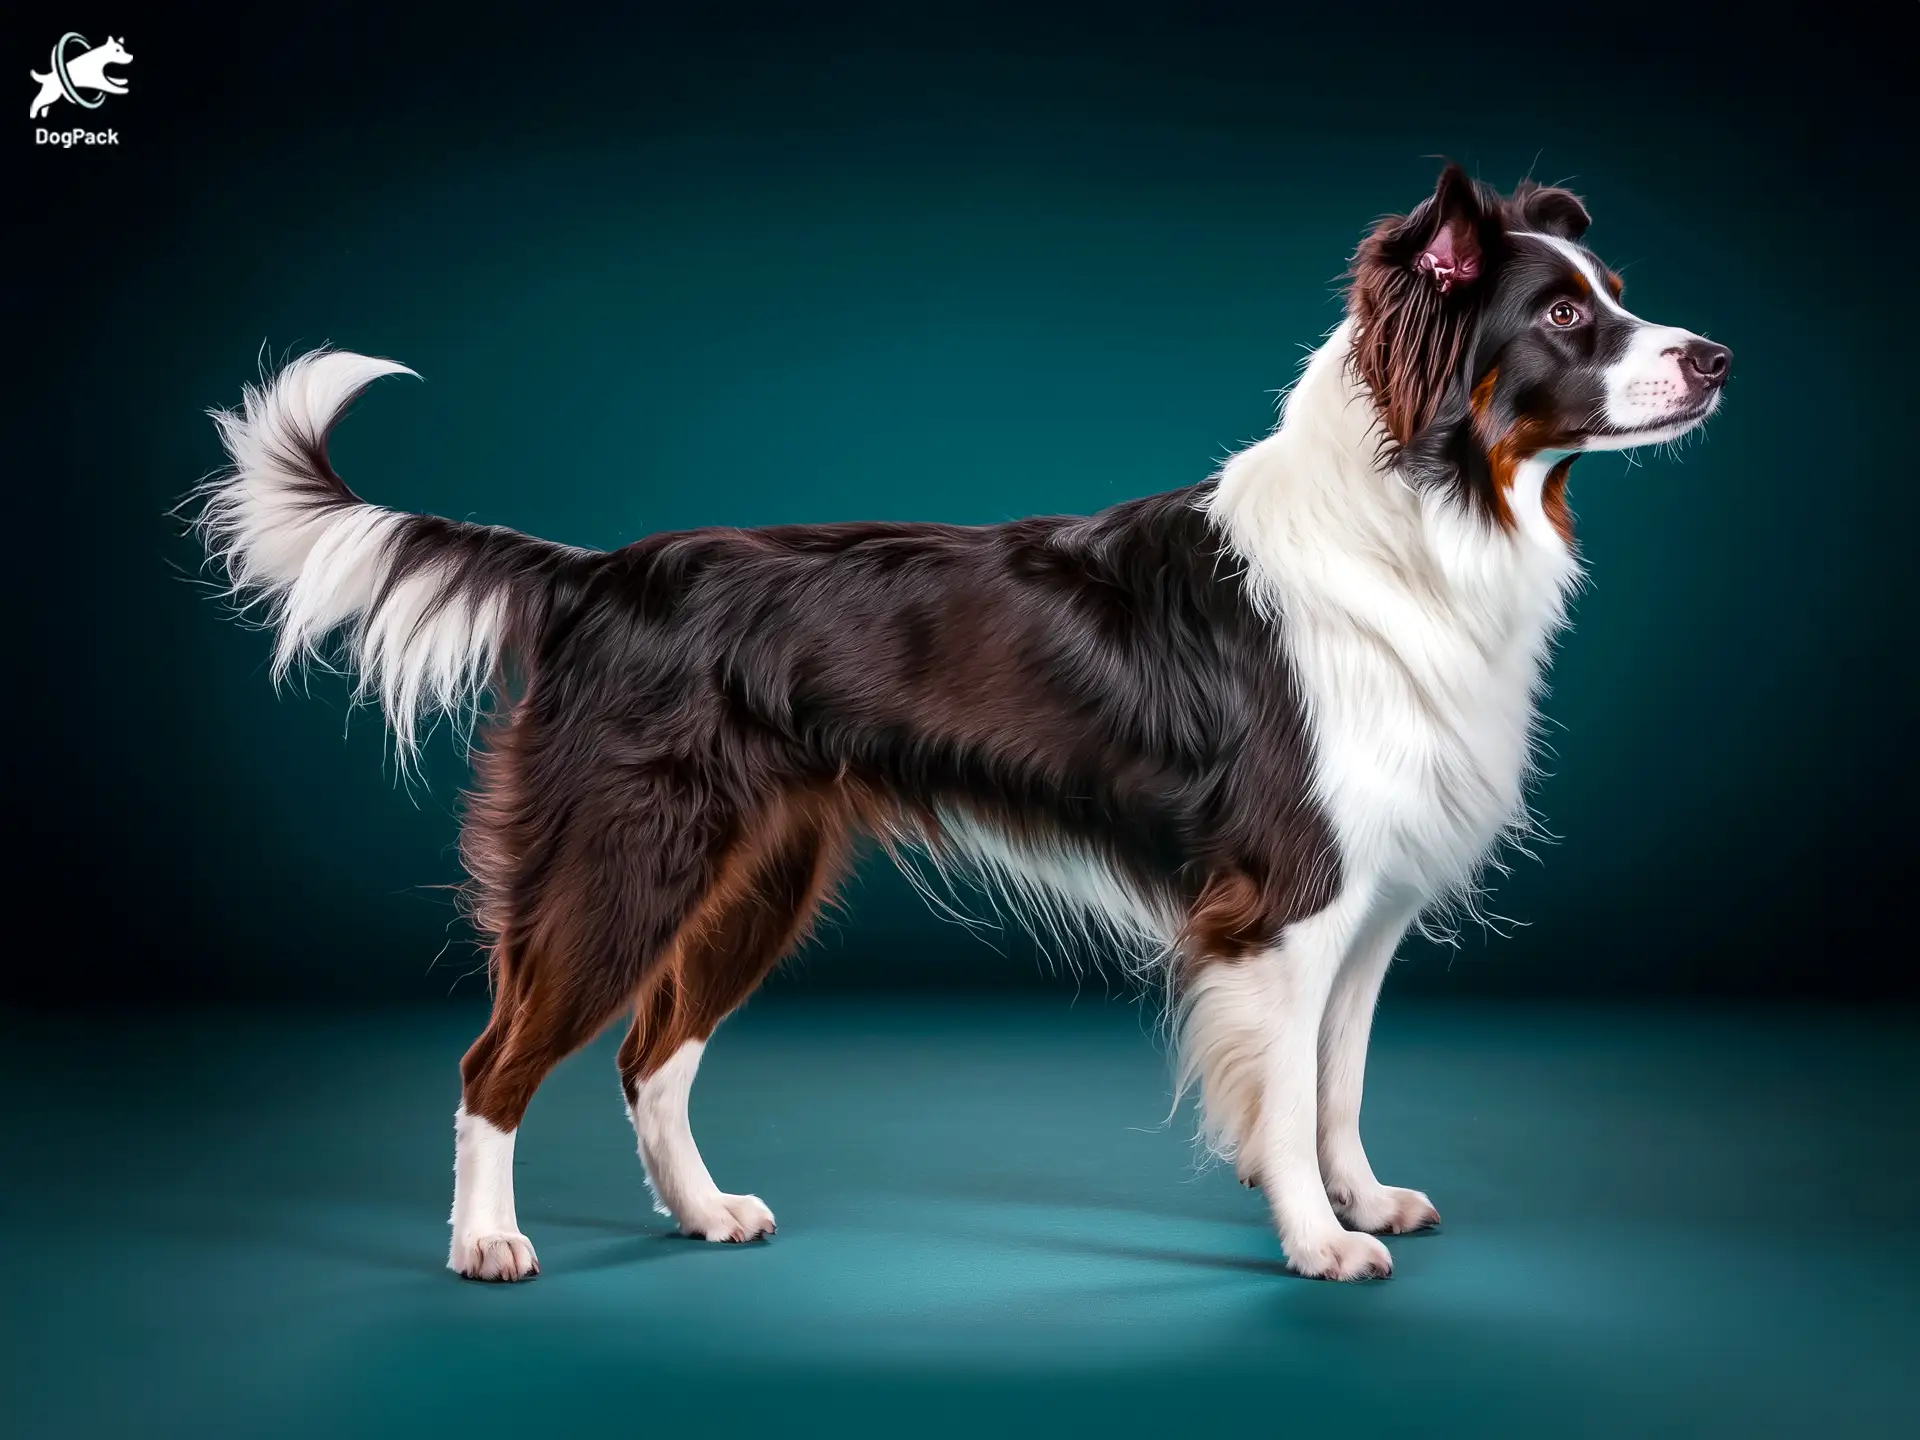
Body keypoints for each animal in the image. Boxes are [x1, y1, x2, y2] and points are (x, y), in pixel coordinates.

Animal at [191, 168, 1728, 1282]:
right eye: (1566, 319)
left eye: (1616, 296)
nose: (1716, 356)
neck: (1425, 513)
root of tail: (596, 574)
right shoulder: (1283, 901)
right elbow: (1287, 1097)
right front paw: (1316, 1242)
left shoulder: (1364, 904)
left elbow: (1335, 1084)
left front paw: (1359, 1199)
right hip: (625, 854)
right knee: (496, 1059)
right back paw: (487, 1242)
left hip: (761, 870)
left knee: (649, 1055)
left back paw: (705, 1214)